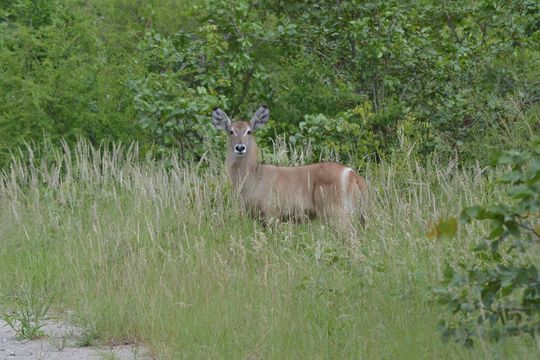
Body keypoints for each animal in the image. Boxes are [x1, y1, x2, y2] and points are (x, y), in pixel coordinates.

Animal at [211, 105, 368, 229]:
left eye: (249, 131)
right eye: (231, 131)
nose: (240, 147)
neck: (252, 177)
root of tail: (354, 176)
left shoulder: (272, 212)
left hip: (336, 210)